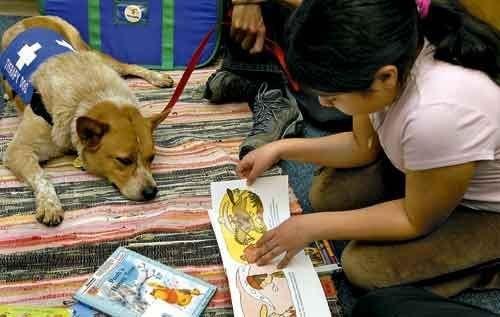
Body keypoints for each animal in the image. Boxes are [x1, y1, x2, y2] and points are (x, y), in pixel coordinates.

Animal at [1, 16, 174, 225]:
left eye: (152, 158)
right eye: (124, 160)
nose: (151, 193)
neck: (88, 96)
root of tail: (32, 18)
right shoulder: (17, 150)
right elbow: (41, 177)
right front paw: (50, 204)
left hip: (92, 53)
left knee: (128, 66)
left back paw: (158, 77)